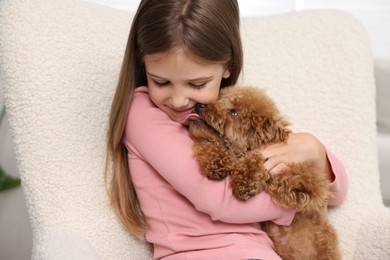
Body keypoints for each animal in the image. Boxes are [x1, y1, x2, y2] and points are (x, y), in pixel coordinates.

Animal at [187, 86, 340, 260]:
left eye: (233, 112)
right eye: (219, 99)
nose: (199, 105)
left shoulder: (313, 184)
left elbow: (263, 163)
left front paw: (245, 182)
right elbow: (210, 148)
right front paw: (215, 162)